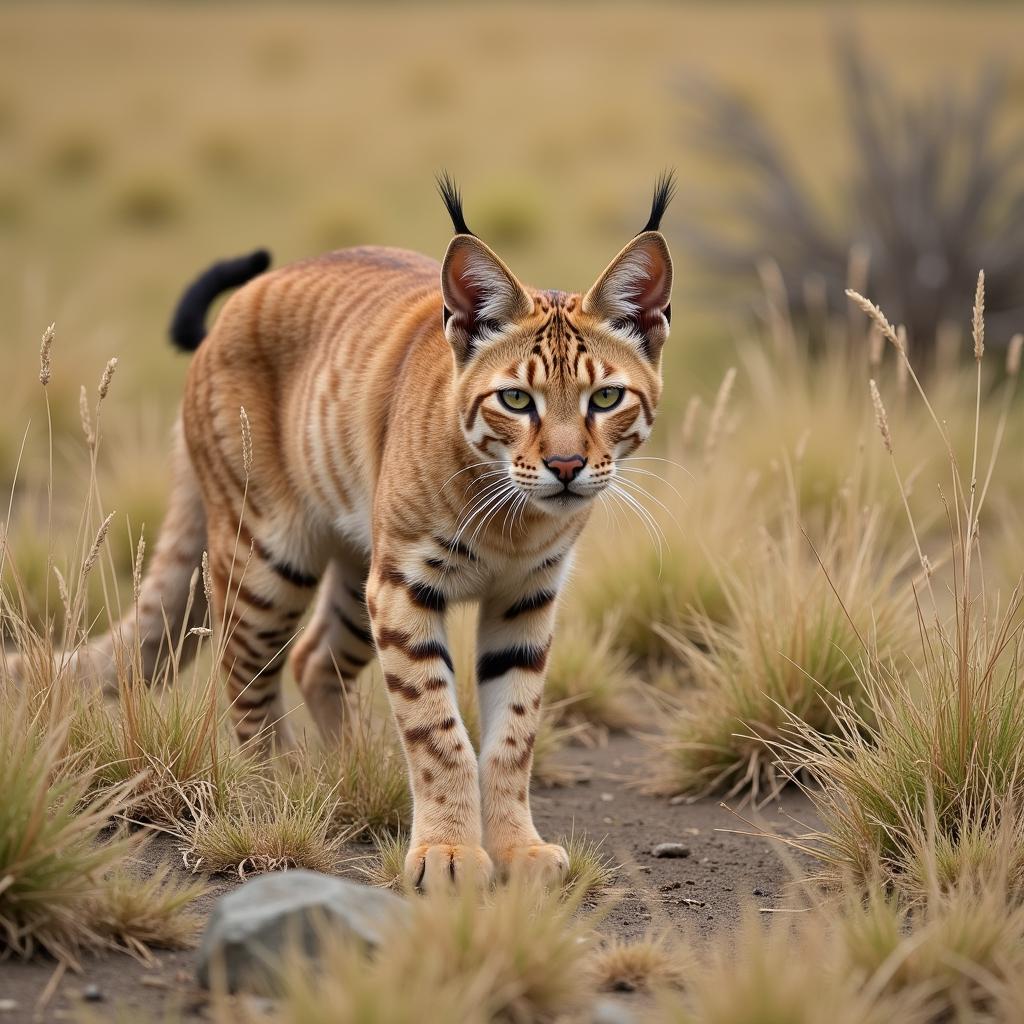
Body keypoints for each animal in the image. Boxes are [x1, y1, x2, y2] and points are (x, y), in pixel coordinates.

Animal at [59, 174, 675, 888]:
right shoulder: (406, 584)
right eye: (516, 400)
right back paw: (281, 789)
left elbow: (512, 736)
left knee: (312, 658)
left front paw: (517, 850)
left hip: (357, 578)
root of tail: (238, 305)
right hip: (268, 558)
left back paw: (350, 773)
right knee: (242, 670)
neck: (511, 519)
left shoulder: (526, 597)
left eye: (606, 398)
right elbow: (437, 729)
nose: (568, 467)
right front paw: (448, 854)